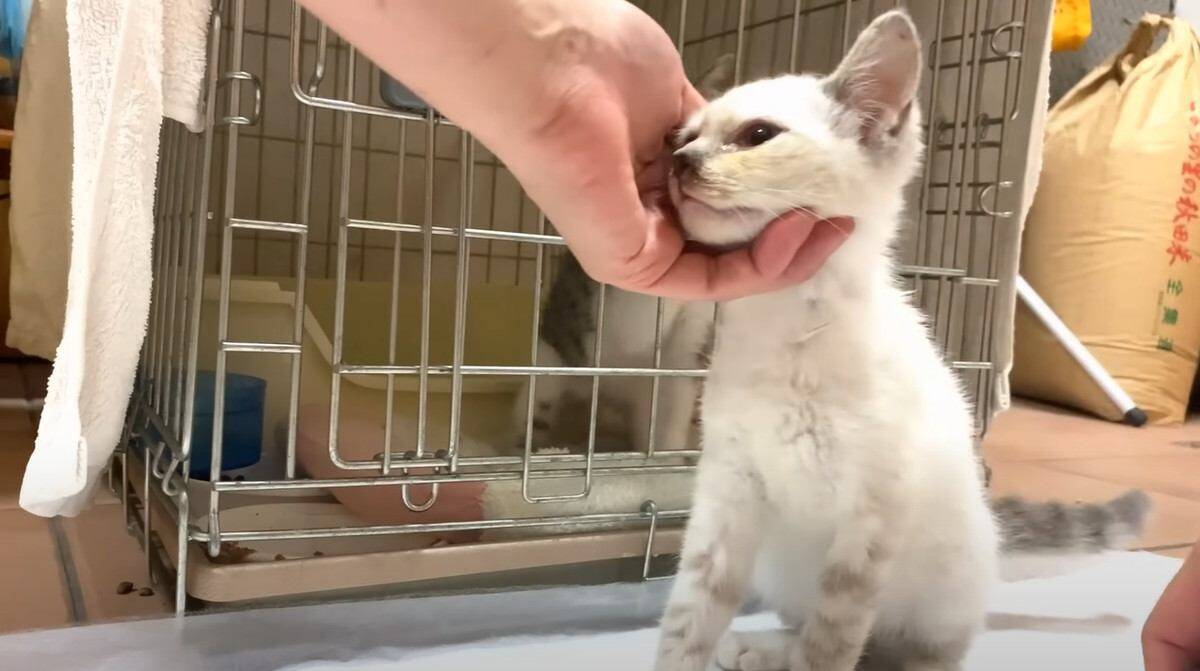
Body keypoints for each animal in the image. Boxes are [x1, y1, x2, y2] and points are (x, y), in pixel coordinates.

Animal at [653, 10, 1149, 671]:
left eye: (758, 134)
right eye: (683, 135)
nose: (680, 162)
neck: (790, 324)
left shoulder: (874, 510)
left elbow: (833, 638)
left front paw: (820, 655)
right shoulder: (728, 487)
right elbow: (693, 611)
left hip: (941, 587)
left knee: (916, 647)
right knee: (802, 623)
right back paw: (763, 648)